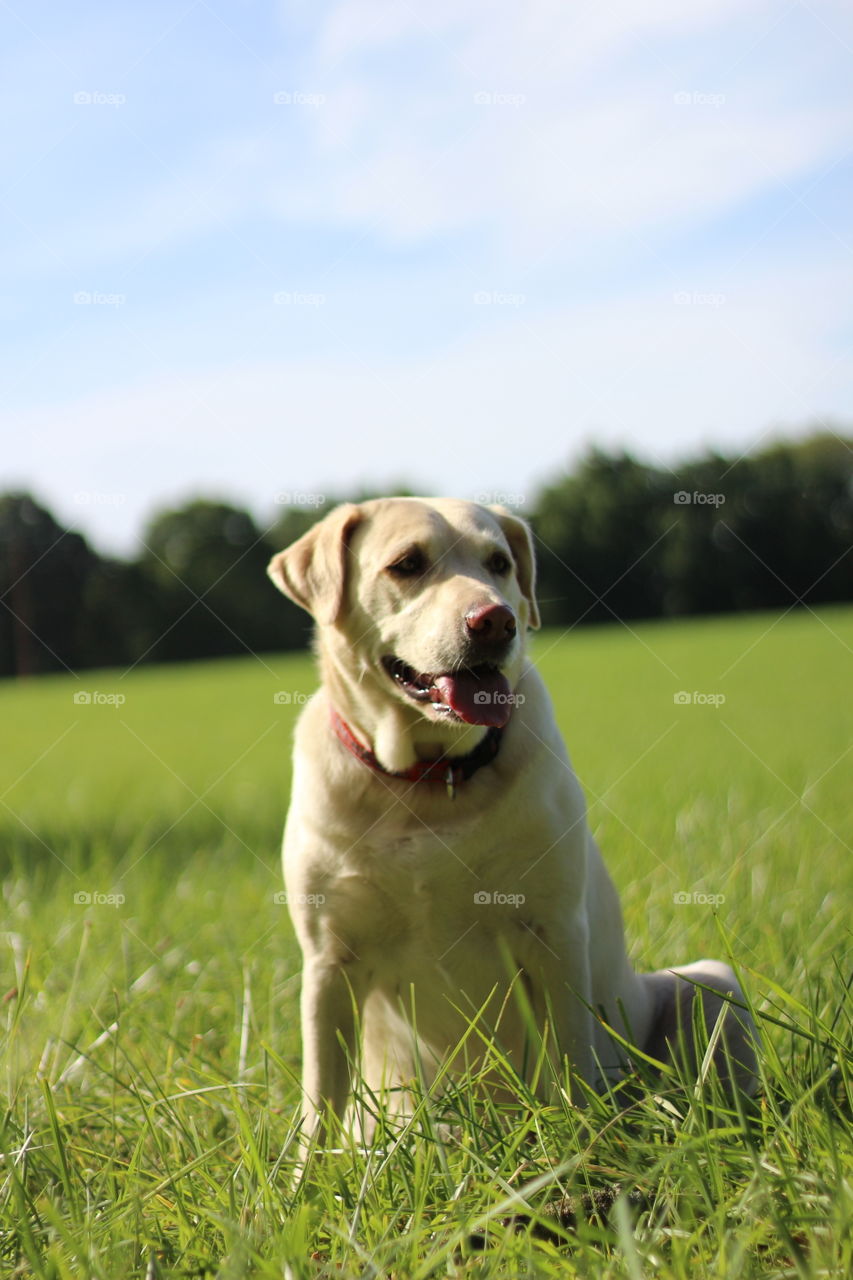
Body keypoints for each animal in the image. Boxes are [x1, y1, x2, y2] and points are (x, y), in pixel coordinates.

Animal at [267, 494, 758, 1146]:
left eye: (498, 562)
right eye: (407, 563)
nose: (496, 621)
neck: (429, 782)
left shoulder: (552, 933)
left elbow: (571, 1060)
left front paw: (587, 1148)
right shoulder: (329, 962)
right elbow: (320, 1099)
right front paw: (310, 1174)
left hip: (709, 982)